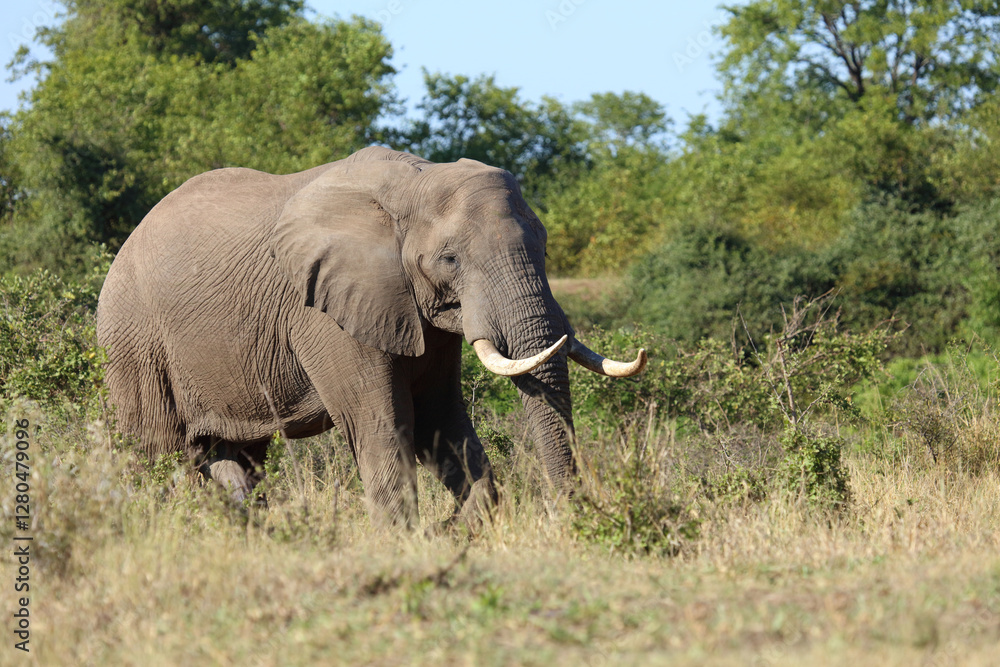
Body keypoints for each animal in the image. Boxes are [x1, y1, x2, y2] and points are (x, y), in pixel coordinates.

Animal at [96, 146, 646, 529]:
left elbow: (438, 419)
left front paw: (456, 529)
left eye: (545, 246)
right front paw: (405, 541)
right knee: (160, 452)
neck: (415, 180)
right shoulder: (324, 313)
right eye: (450, 259)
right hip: (135, 341)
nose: (569, 518)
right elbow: (382, 421)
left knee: (235, 457)